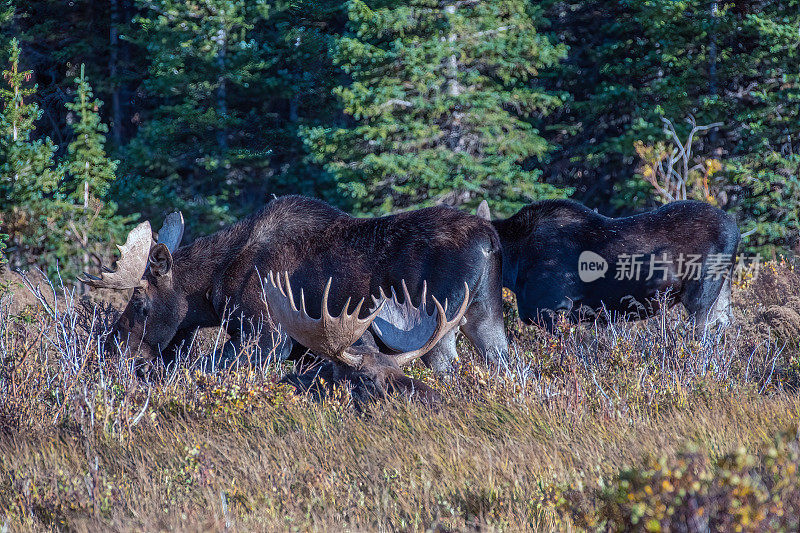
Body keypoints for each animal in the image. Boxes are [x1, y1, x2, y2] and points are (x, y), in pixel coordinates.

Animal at [81, 193, 506, 396]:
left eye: (140, 303)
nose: (110, 349)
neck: (213, 287)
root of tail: (489, 238)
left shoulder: (265, 333)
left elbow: (213, 369)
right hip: (486, 316)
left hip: (437, 322)